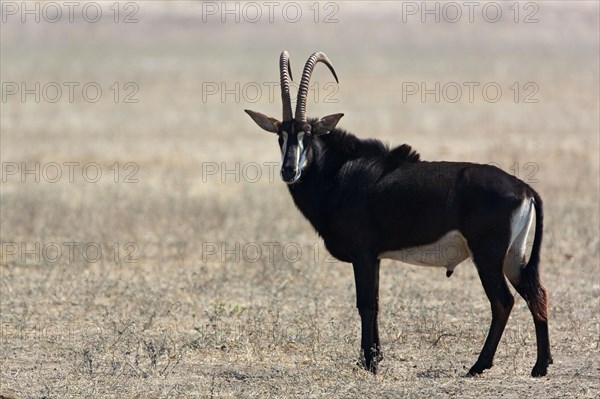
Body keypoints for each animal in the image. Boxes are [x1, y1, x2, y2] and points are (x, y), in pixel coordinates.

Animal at [244, 50, 552, 378]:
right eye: (280, 136)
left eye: (307, 135)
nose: (289, 170)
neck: (338, 171)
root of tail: (524, 189)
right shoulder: (375, 257)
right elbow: (377, 302)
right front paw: (374, 358)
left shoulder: (363, 253)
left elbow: (366, 303)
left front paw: (369, 363)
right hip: (513, 256)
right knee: (536, 293)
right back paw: (540, 366)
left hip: (488, 255)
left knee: (503, 301)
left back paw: (479, 365)